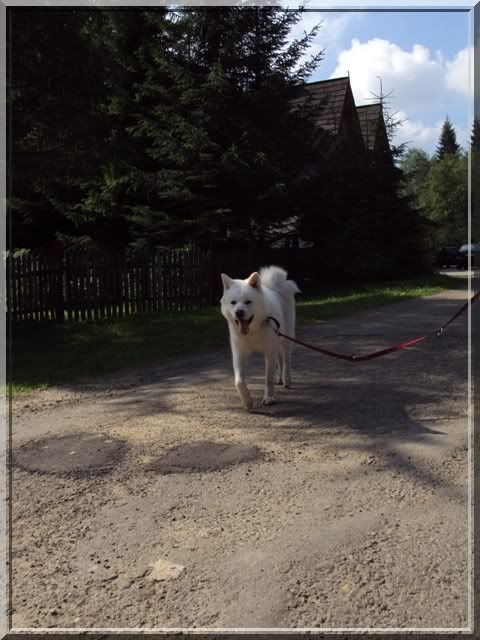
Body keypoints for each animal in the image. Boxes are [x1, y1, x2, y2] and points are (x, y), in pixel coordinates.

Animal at [220, 266, 300, 410]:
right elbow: (239, 381)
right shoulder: (239, 354)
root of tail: (275, 287)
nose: (239, 312)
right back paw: (279, 379)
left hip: (286, 338)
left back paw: (286, 379)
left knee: (286, 360)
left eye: (248, 302)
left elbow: (268, 378)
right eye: (233, 302)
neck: (253, 331)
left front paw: (268, 398)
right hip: (277, 340)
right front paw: (247, 402)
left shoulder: (269, 352)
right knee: (280, 359)